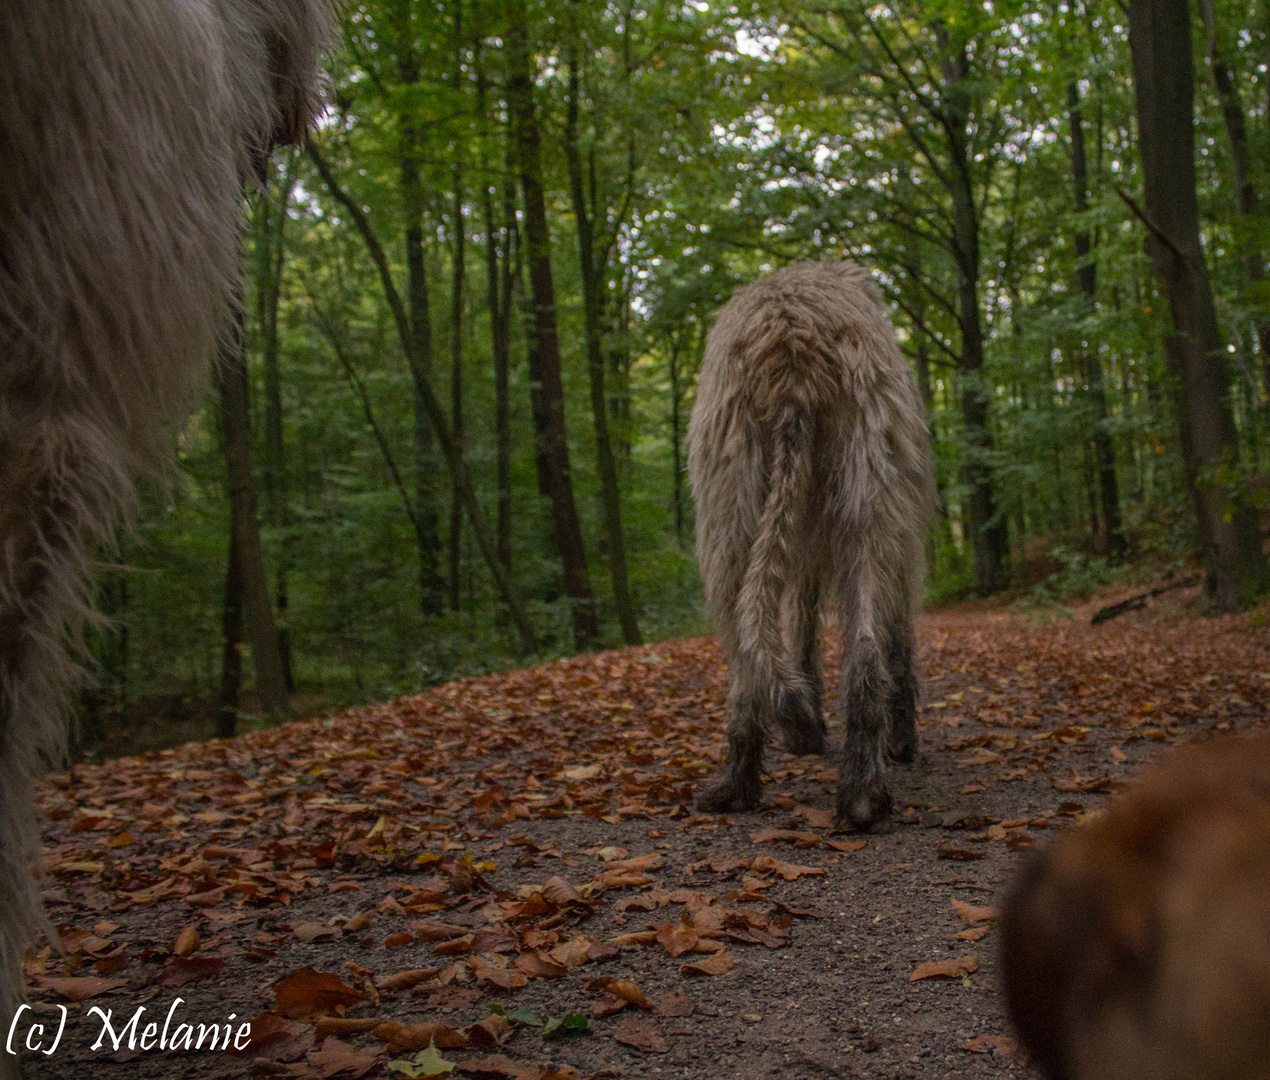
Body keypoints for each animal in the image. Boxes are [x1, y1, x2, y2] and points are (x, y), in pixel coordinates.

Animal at [690, 259, 939, 823]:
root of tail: (790, 346)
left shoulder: (799, 554)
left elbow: (799, 628)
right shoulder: (901, 552)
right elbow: (899, 642)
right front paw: (902, 740)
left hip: (731, 496)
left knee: (749, 647)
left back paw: (746, 779)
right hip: (871, 493)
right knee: (869, 650)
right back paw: (861, 785)